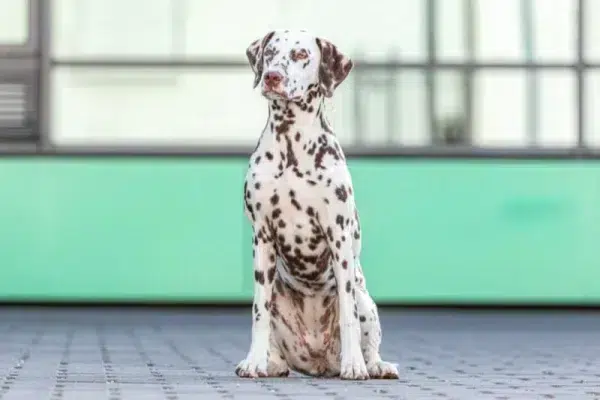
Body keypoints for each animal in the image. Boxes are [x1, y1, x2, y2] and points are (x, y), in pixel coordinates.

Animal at [237, 29, 400, 380]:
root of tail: (319, 360)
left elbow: (348, 314)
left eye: (300, 55)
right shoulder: (262, 238)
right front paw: (254, 361)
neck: (291, 146)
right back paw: (271, 364)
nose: (272, 76)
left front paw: (354, 365)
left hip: (367, 302)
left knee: (368, 338)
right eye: (270, 53)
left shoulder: (338, 236)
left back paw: (375, 365)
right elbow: (258, 313)